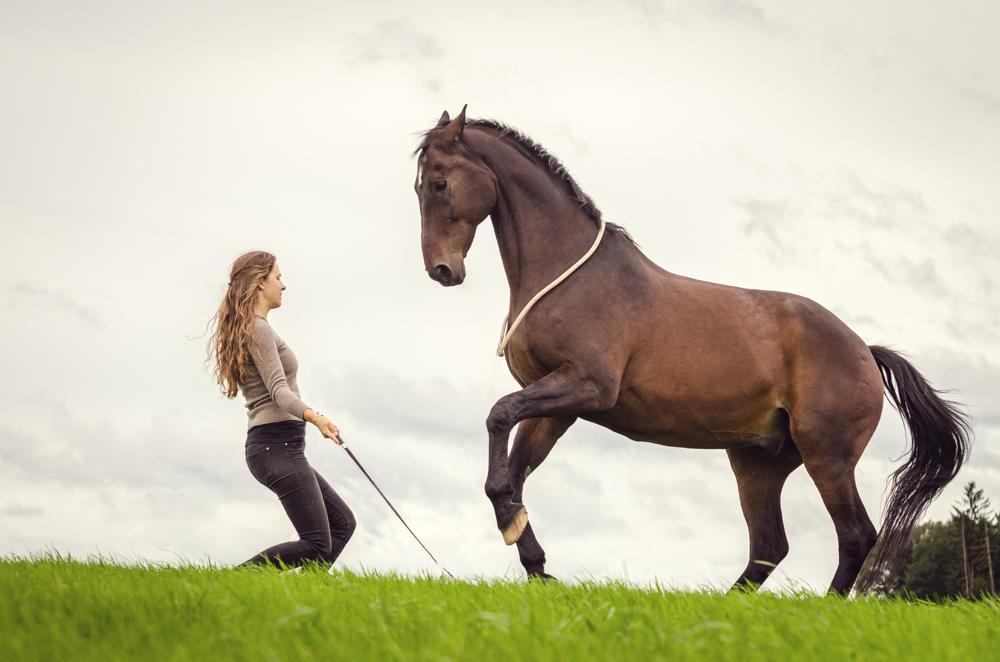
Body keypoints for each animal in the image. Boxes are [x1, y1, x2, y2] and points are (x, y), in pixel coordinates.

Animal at [408, 105, 968, 596]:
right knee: (769, 547)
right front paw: (536, 564)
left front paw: (511, 526)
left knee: (855, 537)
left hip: (826, 456)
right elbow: (515, 472)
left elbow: (499, 419)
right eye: (419, 186)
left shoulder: (585, 386)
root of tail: (863, 350)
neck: (569, 273)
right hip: (758, 463)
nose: (441, 270)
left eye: (438, 182)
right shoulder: (555, 405)